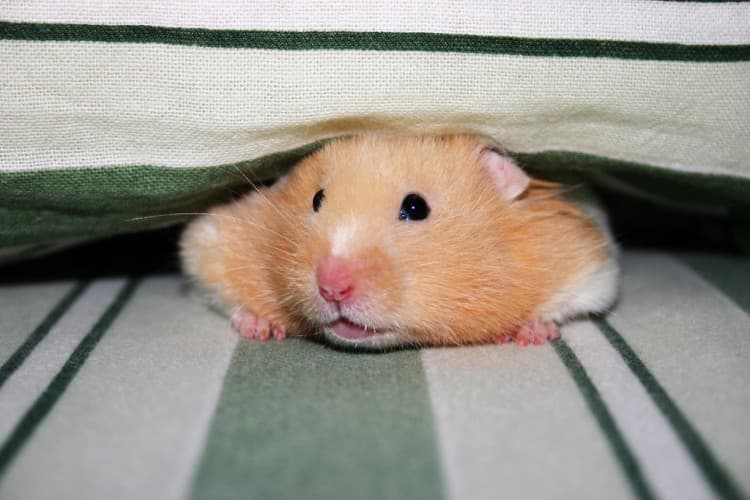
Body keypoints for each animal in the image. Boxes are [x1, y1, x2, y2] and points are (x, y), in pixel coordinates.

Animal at [180, 135, 618, 349]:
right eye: (316, 199)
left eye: (415, 207)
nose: (331, 286)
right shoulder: (210, 244)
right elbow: (216, 286)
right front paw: (260, 326)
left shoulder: (590, 261)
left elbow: (576, 300)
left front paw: (529, 334)